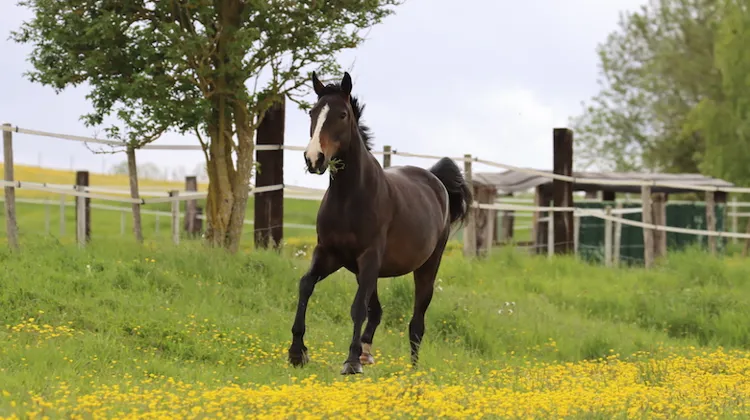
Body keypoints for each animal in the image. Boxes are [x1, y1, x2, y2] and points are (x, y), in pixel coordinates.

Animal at [287, 71, 473, 375]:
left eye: (341, 114)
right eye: (312, 112)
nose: (314, 159)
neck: (349, 197)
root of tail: (436, 179)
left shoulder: (368, 256)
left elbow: (357, 308)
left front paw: (350, 362)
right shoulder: (330, 254)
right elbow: (305, 286)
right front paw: (297, 353)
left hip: (426, 267)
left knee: (416, 322)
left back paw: (411, 370)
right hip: (367, 270)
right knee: (377, 310)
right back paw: (367, 354)